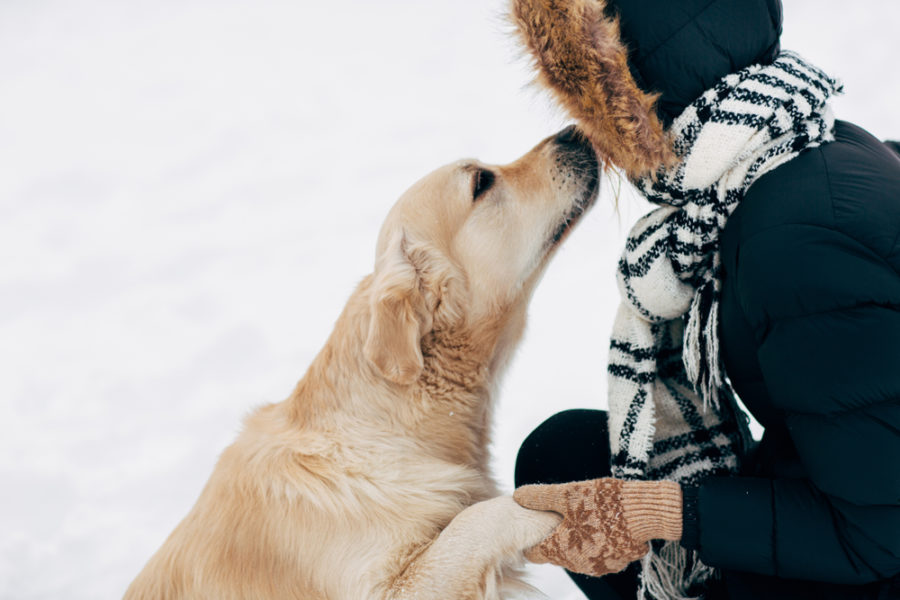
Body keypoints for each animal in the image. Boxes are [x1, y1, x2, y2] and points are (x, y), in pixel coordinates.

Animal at [125, 124, 596, 596]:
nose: (574, 131)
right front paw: (569, 503)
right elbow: (475, 517)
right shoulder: (382, 585)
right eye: (481, 181)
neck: (395, 421)